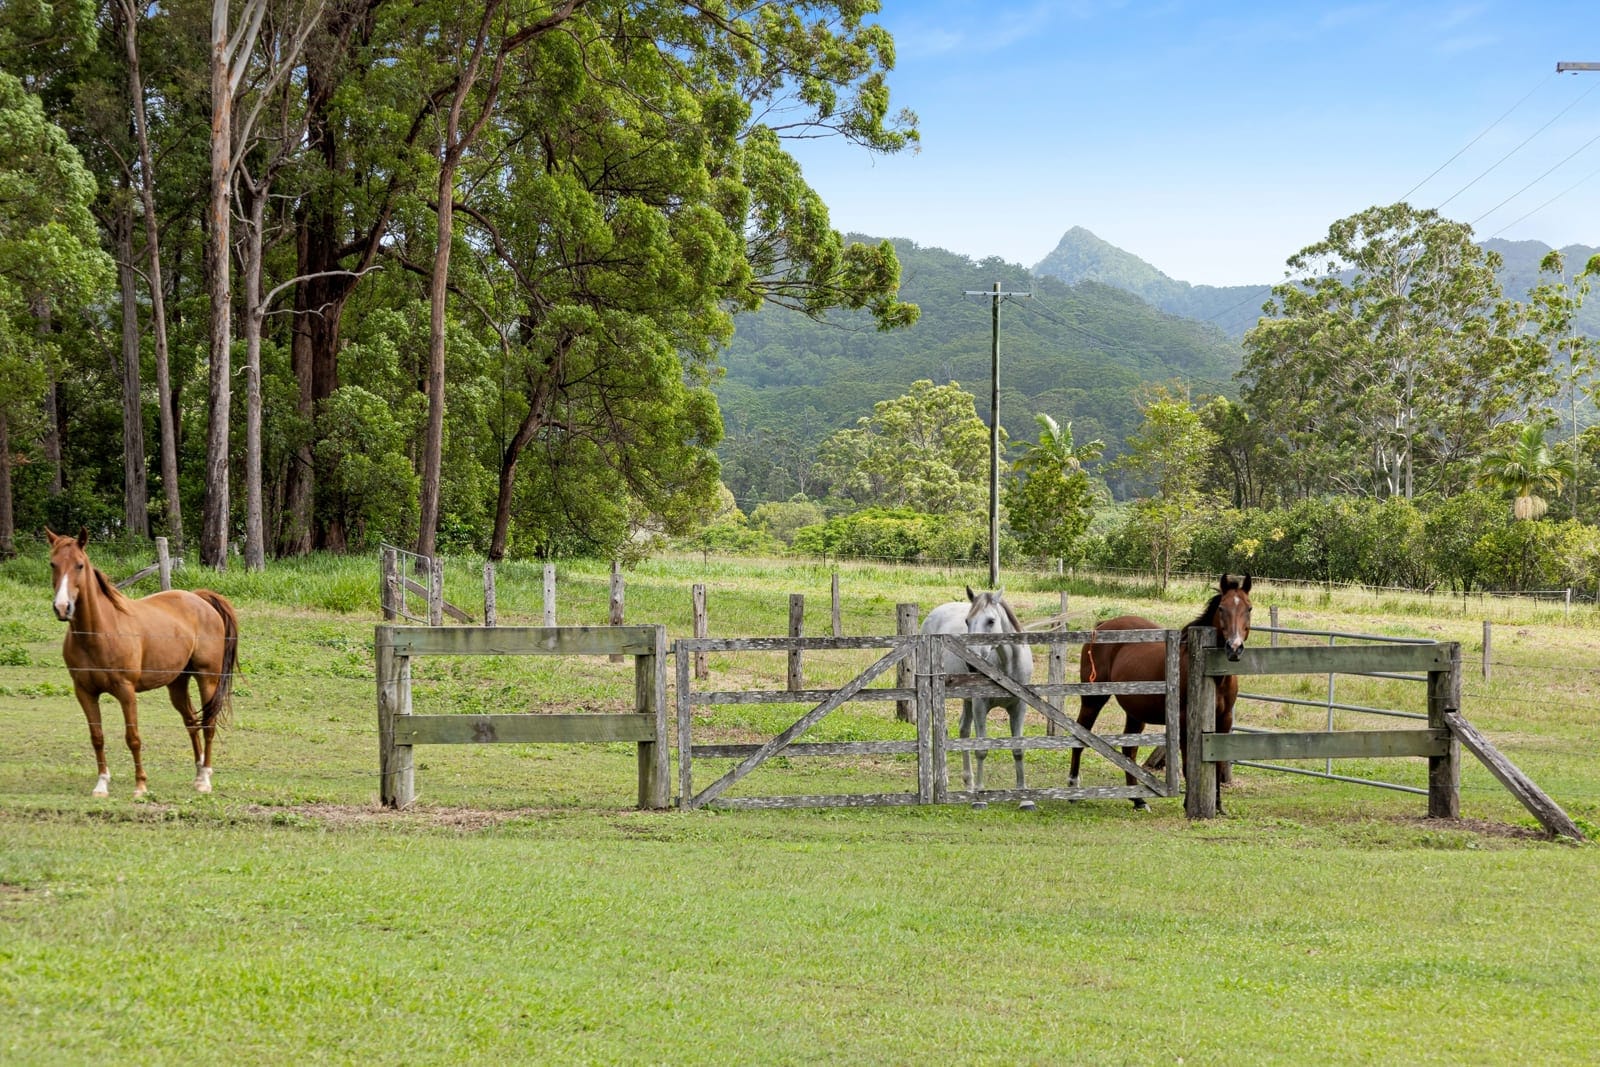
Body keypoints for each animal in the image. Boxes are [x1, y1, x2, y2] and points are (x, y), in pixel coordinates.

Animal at [47, 527, 239, 798]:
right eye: (53, 564)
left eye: (79, 565)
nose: (63, 607)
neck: (99, 632)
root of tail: (199, 598)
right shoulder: (84, 692)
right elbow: (97, 736)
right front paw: (102, 784)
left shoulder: (126, 691)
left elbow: (133, 737)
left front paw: (140, 785)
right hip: (177, 683)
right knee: (192, 723)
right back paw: (199, 772)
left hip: (207, 678)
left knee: (208, 724)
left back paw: (205, 780)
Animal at [922, 586, 1036, 810]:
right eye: (967, 621)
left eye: (991, 621)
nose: (971, 664)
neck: (1006, 666)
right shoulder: (980, 705)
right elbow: (981, 749)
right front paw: (980, 798)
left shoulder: (1019, 707)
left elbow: (1018, 749)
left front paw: (1025, 798)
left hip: (967, 701)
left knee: (964, 731)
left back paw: (969, 784)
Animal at [1069, 574, 1252, 810]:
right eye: (1222, 608)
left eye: (1249, 608)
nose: (1234, 647)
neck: (1214, 675)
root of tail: (1101, 626)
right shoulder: (1184, 722)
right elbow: (1187, 765)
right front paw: (1189, 804)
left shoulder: (1224, 720)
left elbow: (1218, 764)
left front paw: (1218, 806)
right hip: (1093, 700)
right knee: (1079, 738)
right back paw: (1073, 788)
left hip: (1135, 712)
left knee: (1129, 750)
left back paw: (1138, 800)